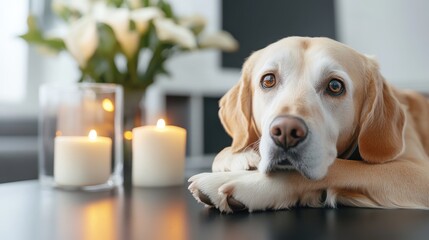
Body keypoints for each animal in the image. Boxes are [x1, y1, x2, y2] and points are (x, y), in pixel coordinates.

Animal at [189, 36, 428, 213]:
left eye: (335, 86)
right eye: (268, 80)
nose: (285, 132)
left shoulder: (417, 172)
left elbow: (339, 167)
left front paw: (242, 182)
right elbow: (224, 153)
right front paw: (237, 158)